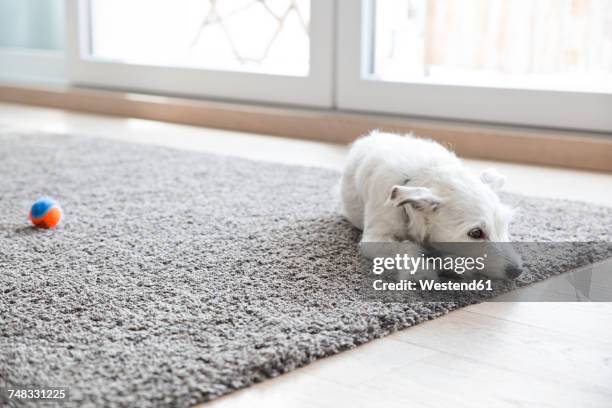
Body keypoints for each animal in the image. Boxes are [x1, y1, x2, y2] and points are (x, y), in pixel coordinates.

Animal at [340, 131, 520, 280]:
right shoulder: (374, 239)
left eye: (504, 224)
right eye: (475, 233)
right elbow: (406, 247)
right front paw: (421, 271)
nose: (517, 271)